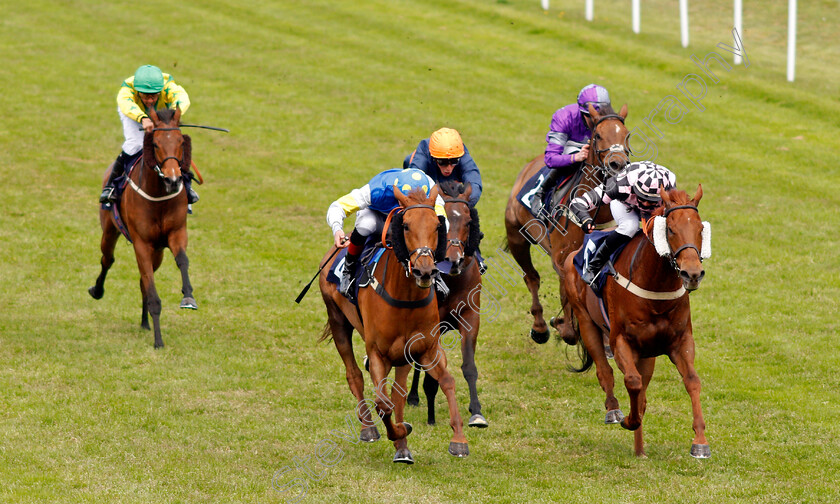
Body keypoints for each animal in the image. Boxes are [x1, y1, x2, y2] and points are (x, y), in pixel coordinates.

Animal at [88, 108, 195, 348]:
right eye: (155, 143)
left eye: (180, 142)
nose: (173, 180)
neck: (159, 196)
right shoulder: (142, 244)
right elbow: (153, 293)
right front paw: (158, 341)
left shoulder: (176, 234)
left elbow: (182, 260)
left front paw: (188, 297)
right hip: (109, 231)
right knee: (107, 260)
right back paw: (97, 290)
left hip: (158, 252)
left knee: (143, 280)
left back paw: (145, 322)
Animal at [318, 186, 470, 464]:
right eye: (406, 225)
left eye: (437, 226)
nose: (424, 271)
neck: (405, 297)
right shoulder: (379, 353)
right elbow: (382, 402)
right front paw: (399, 431)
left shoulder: (425, 349)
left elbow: (446, 381)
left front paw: (458, 439)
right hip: (338, 320)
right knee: (354, 375)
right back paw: (368, 427)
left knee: (398, 393)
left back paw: (402, 448)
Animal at [406, 181, 488, 430]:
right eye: (442, 222)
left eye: (469, 221)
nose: (454, 260)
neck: (453, 281)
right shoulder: (431, 327)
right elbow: (430, 373)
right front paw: (430, 414)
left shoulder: (470, 318)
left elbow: (469, 366)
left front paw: (476, 412)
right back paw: (413, 396)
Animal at [502, 102, 628, 346]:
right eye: (598, 135)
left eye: (626, 135)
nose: (618, 164)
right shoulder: (561, 260)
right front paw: (563, 325)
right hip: (516, 237)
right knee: (532, 278)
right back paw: (540, 327)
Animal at [560, 185, 712, 456]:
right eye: (670, 229)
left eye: (700, 229)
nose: (692, 274)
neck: (655, 286)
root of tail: (574, 254)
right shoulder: (621, 340)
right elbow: (632, 381)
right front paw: (629, 420)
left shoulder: (680, 341)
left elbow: (692, 381)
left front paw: (700, 442)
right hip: (587, 322)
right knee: (604, 370)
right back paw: (613, 410)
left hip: (647, 353)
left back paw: (639, 447)